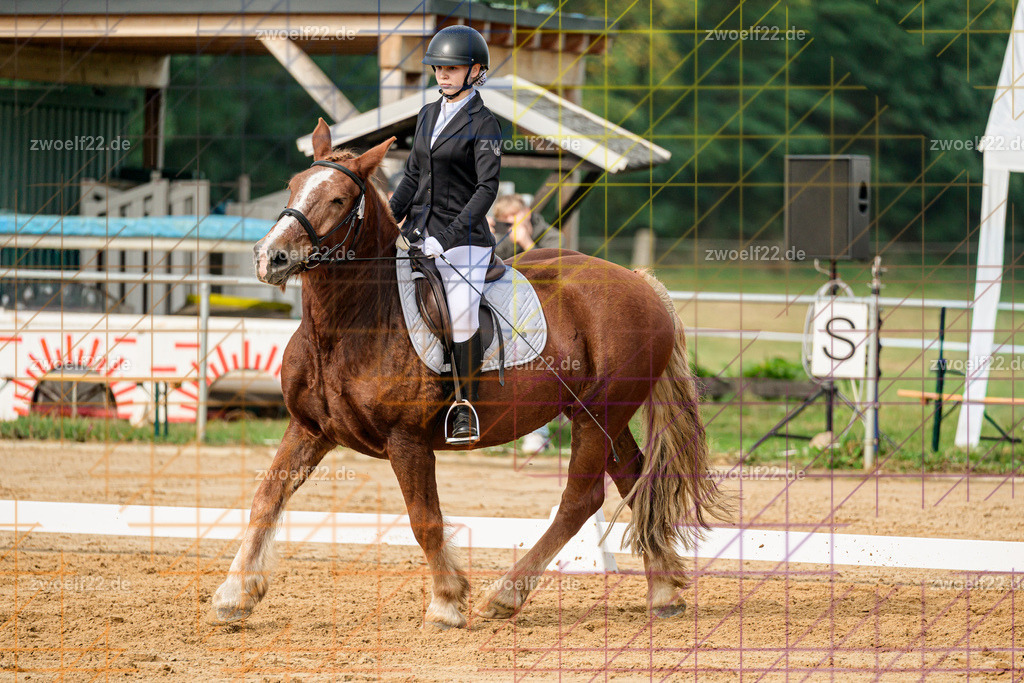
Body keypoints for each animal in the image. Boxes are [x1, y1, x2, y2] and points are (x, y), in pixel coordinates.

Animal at [212, 118, 727, 629]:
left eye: (339, 199)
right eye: (293, 186)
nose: (271, 257)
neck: (348, 325)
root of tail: (640, 283)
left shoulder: (407, 439)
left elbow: (425, 520)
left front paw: (445, 603)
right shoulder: (310, 428)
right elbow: (266, 497)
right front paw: (234, 595)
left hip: (596, 413)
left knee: (580, 501)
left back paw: (505, 595)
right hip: (607, 417)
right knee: (633, 481)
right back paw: (663, 592)